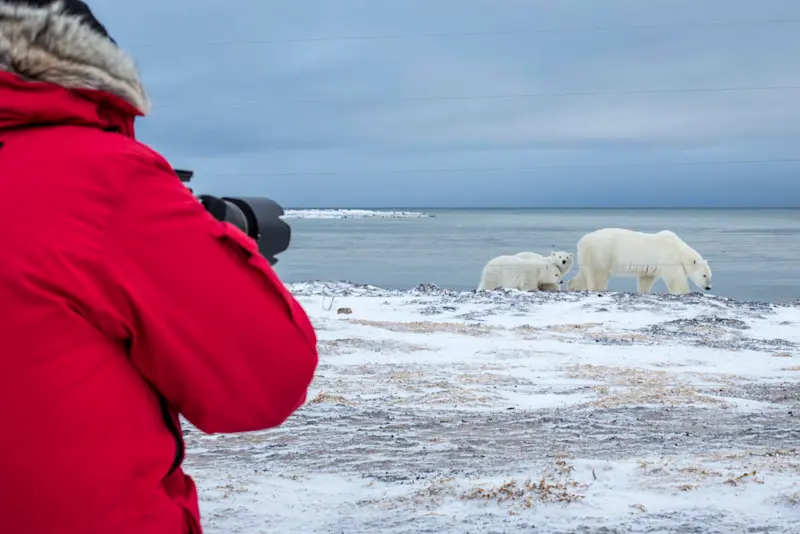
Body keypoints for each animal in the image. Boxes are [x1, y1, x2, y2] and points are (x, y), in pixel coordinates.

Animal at [567, 228, 712, 294]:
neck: (678, 248)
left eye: (710, 276)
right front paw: (684, 291)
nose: (708, 287)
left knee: (584, 273)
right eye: (704, 275)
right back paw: (599, 289)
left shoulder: (651, 267)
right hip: (602, 253)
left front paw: (644, 291)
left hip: (588, 256)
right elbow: (676, 278)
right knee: (599, 274)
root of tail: (582, 241)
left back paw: (573, 286)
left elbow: (646, 279)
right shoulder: (668, 258)